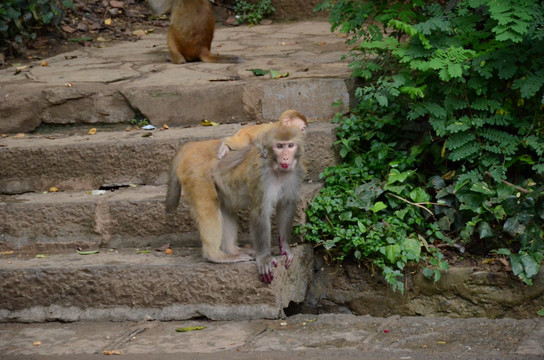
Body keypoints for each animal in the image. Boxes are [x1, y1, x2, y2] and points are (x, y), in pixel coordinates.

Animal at [165, 125, 306, 282]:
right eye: (279, 146)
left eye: (290, 145)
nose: (286, 157)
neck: (278, 169)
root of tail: (192, 146)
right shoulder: (262, 177)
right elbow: (260, 213)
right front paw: (264, 258)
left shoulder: (295, 174)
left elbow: (286, 208)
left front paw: (285, 248)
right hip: (196, 173)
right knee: (209, 208)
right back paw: (215, 255)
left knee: (224, 208)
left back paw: (231, 250)